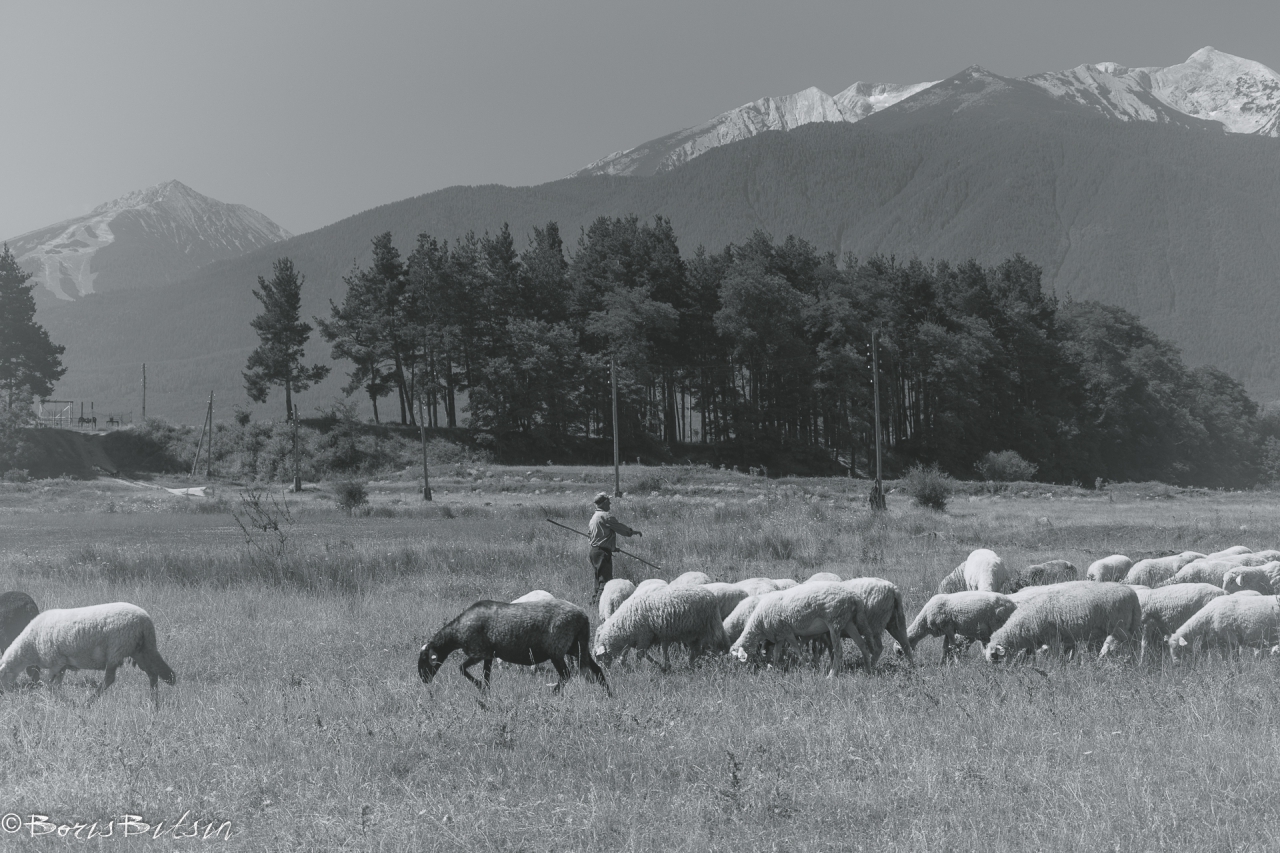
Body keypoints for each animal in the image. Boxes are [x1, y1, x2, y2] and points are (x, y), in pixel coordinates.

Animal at [0, 596, 175, 696]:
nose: (5, 696)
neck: (30, 646)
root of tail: (146, 622)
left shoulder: (56, 662)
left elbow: (51, 685)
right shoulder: (62, 664)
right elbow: (56, 685)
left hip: (117, 649)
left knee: (109, 680)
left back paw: (89, 702)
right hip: (141, 649)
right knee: (155, 674)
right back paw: (154, 704)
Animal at [414, 596, 604, 691]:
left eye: (424, 659)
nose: (423, 680)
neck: (457, 632)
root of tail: (583, 616)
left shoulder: (478, 652)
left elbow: (461, 668)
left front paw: (479, 686)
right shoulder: (488, 655)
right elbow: (487, 676)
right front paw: (485, 692)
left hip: (557, 649)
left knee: (565, 675)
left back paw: (555, 693)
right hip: (576, 647)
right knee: (597, 670)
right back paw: (607, 696)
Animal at [591, 581, 727, 666]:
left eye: (598, 657)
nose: (603, 672)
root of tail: (710, 595)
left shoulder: (644, 637)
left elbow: (641, 655)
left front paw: (641, 668)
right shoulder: (643, 639)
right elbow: (648, 653)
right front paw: (663, 665)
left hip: (707, 627)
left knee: (713, 645)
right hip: (691, 633)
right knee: (696, 650)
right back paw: (691, 664)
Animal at [732, 581, 870, 676]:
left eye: (737, 659)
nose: (739, 672)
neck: (758, 624)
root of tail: (854, 597)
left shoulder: (787, 632)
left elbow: (797, 650)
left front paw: (806, 667)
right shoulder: (780, 635)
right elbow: (776, 653)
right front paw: (774, 668)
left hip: (835, 622)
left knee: (839, 652)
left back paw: (831, 675)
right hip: (848, 622)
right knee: (862, 644)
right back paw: (868, 669)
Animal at [983, 581, 1146, 660]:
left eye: (994, 656)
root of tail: (1132, 595)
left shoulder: (1053, 637)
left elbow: (1055, 655)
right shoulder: (1066, 638)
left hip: (1119, 626)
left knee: (1133, 642)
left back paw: (1133, 659)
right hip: (1131, 624)